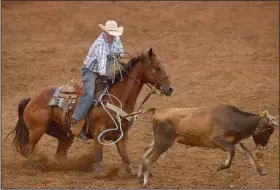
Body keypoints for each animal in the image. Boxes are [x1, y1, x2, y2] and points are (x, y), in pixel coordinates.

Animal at [7, 48, 174, 175]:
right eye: (157, 68)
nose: (170, 89)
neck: (117, 97)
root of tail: (31, 99)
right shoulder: (99, 132)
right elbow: (99, 153)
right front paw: (98, 172)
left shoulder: (122, 134)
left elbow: (125, 156)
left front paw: (133, 173)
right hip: (37, 130)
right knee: (28, 149)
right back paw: (33, 165)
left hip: (64, 135)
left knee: (59, 154)